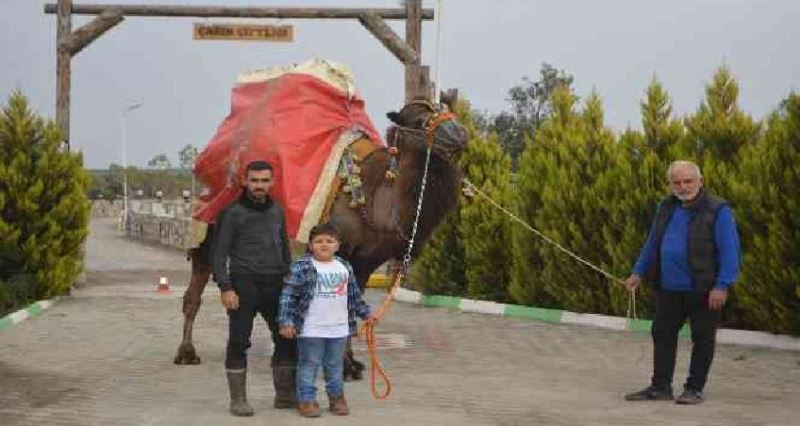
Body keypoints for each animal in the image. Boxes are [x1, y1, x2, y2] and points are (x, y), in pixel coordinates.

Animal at [171, 93, 466, 380]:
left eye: (442, 108)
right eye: (418, 120)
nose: (459, 133)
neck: (374, 198)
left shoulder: (366, 260)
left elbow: (350, 307)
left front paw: (351, 364)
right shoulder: (341, 250)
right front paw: (343, 367)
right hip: (207, 235)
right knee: (195, 292)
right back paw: (186, 352)